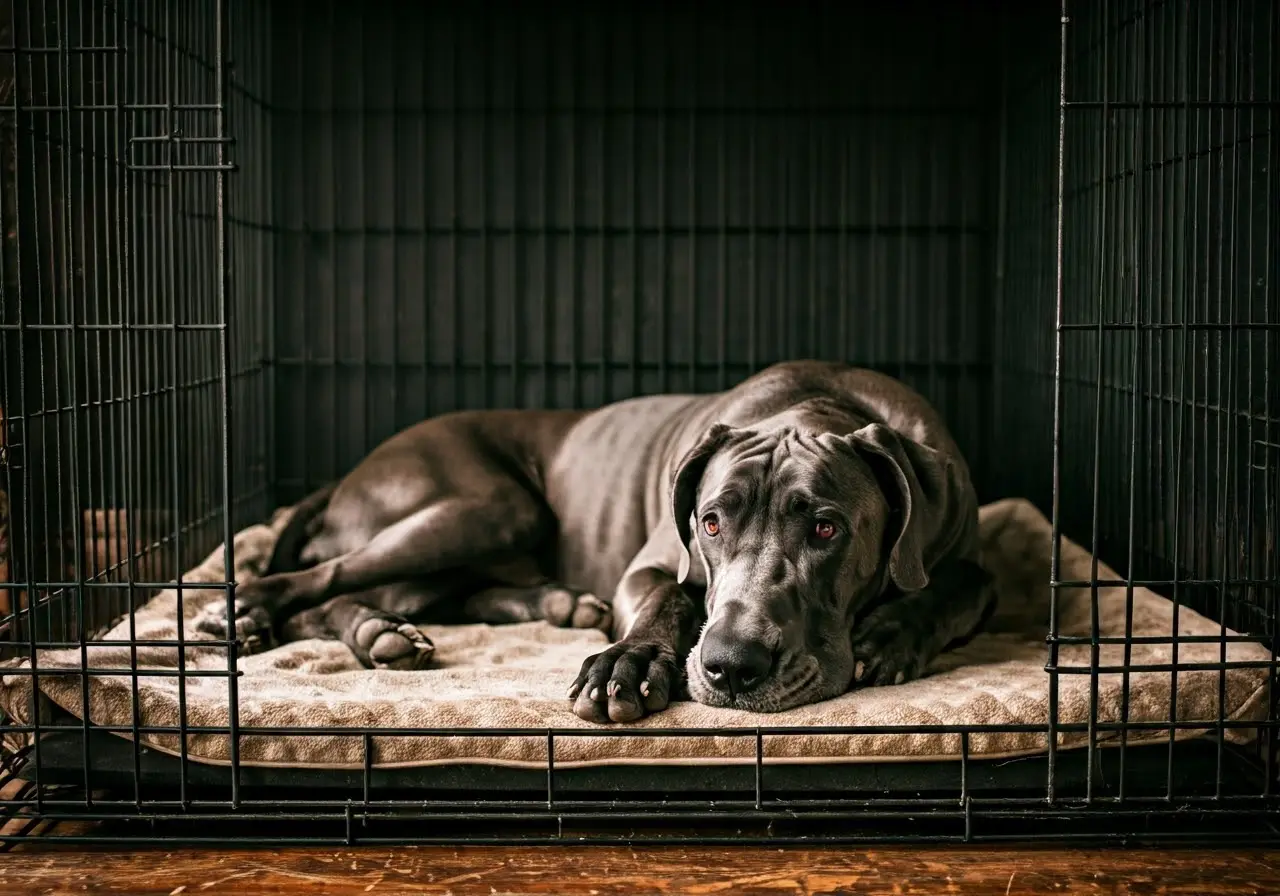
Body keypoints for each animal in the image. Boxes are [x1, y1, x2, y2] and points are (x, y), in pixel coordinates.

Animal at [197, 360, 988, 727]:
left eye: (826, 527)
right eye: (710, 522)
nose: (732, 667)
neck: (824, 399)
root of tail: (343, 478)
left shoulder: (970, 549)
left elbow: (962, 586)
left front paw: (893, 631)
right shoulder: (653, 566)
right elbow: (668, 599)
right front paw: (625, 664)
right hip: (487, 507)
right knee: (320, 581)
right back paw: (263, 613)